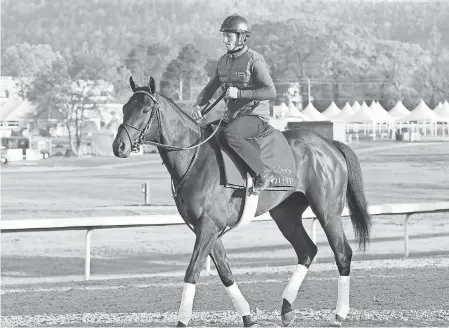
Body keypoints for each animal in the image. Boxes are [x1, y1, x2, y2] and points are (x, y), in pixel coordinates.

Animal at [112, 76, 372, 326]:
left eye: (145, 110)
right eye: (124, 108)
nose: (119, 146)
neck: (195, 158)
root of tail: (329, 144)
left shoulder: (208, 227)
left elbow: (192, 272)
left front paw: (182, 321)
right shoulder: (207, 229)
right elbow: (225, 272)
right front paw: (248, 317)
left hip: (327, 212)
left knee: (342, 253)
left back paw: (340, 313)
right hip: (285, 215)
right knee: (307, 250)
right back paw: (287, 309)